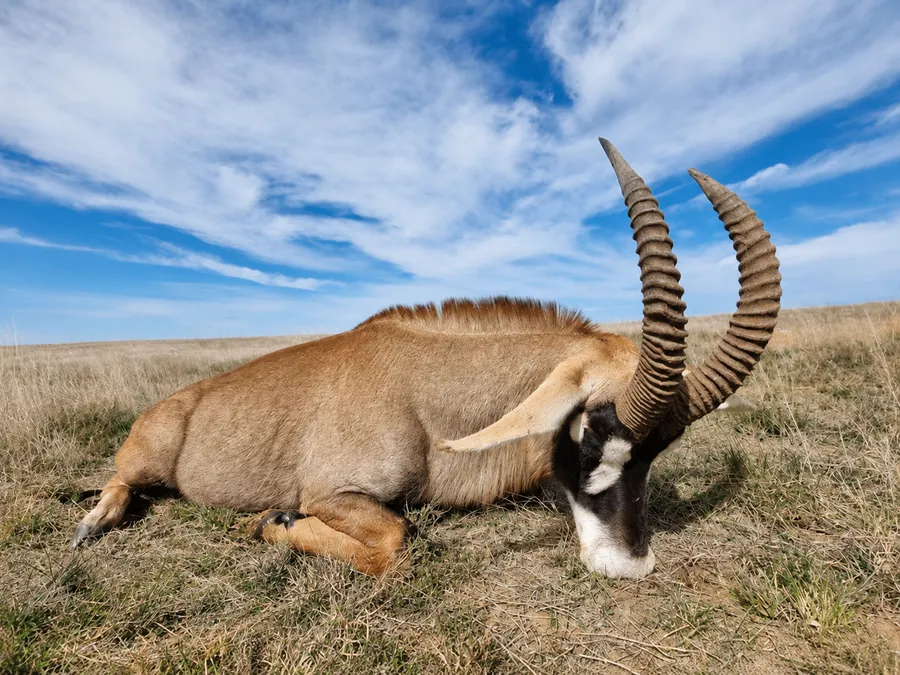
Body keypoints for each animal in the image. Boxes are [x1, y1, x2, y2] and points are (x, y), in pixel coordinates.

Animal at [71, 139, 781, 579]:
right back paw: (92, 522)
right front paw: (271, 519)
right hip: (147, 460)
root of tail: (174, 403)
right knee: (122, 481)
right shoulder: (333, 492)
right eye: (592, 434)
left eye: (659, 453)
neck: (425, 396)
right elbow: (394, 539)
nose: (629, 565)